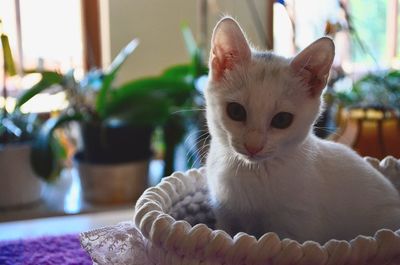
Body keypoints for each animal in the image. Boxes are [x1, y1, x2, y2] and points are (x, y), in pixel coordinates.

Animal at [205, 17, 400, 243]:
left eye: (282, 120)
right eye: (236, 111)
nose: (253, 146)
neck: (252, 172)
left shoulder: (296, 229)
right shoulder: (225, 219)